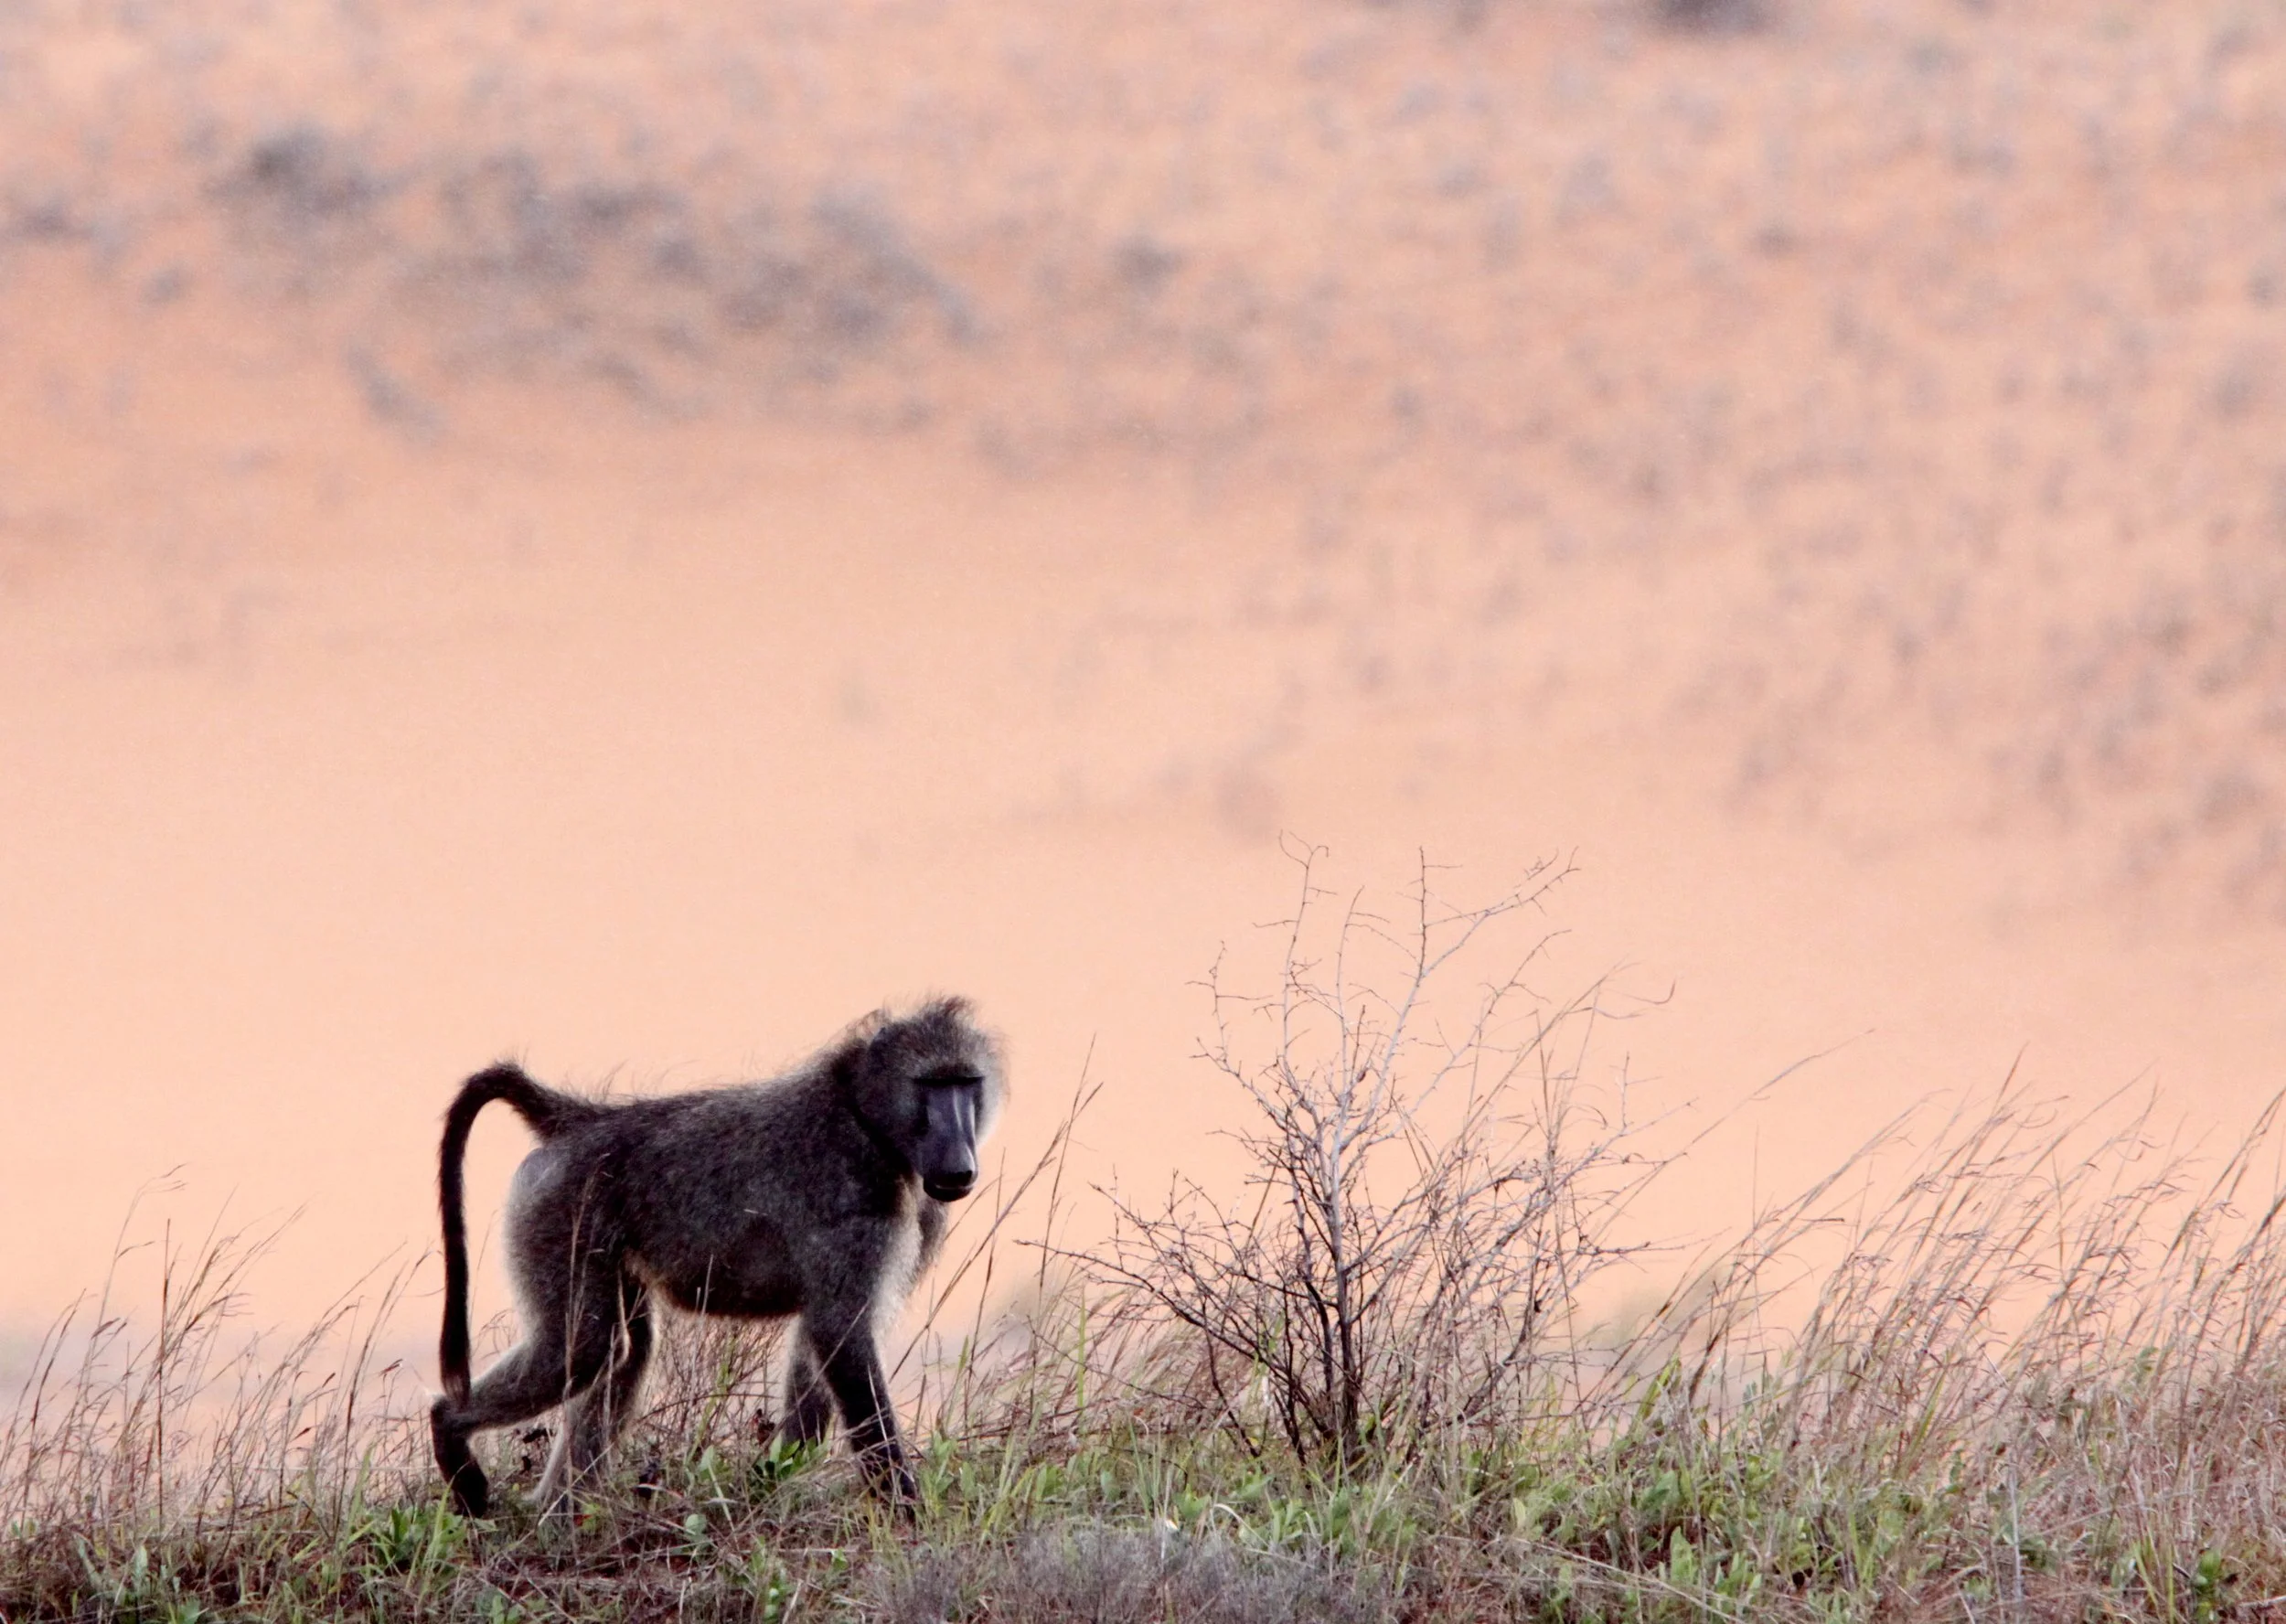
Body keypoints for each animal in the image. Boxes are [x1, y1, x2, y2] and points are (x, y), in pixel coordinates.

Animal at [427, 996, 1004, 1518]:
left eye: (965, 1084)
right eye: (931, 1086)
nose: (958, 1166)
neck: (864, 1116)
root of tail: (579, 1121)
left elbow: (814, 1350)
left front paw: (769, 1481)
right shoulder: (853, 1209)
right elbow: (841, 1337)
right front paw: (905, 1511)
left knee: (625, 1349)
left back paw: (559, 1512)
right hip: (559, 1210)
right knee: (584, 1348)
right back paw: (453, 1437)